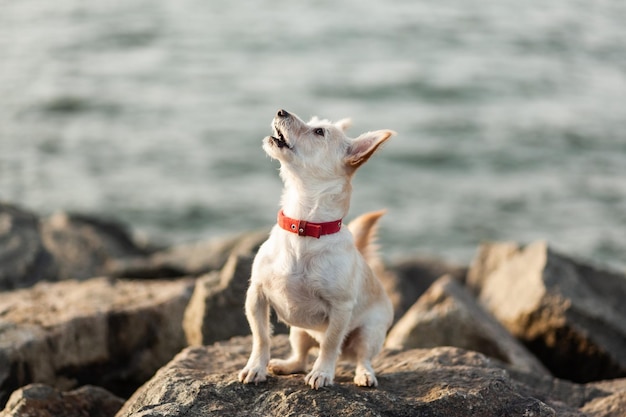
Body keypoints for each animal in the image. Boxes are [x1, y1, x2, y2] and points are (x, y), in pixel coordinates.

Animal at [236, 109, 392, 386]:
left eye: (319, 132)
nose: (281, 110)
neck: (303, 225)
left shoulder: (341, 309)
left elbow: (330, 344)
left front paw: (322, 373)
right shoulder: (256, 295)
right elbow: (261, 337)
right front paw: (255, 367)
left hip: (369, 333)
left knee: (360, 356)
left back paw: (363, 375)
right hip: (298, 332)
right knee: (301, 356)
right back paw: (284, 365)